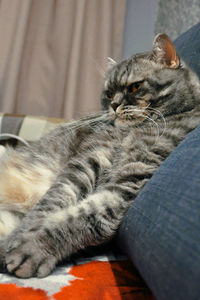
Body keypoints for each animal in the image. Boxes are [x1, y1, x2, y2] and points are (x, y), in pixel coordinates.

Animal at [0, 33, 200, 278]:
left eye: (134, 87)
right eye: (109, 93)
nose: (114, 105)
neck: (131, 131)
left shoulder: (129, 180)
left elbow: (84, 217)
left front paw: (32, 247)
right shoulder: (90, 160)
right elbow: (51, 201)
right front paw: (18, 237)